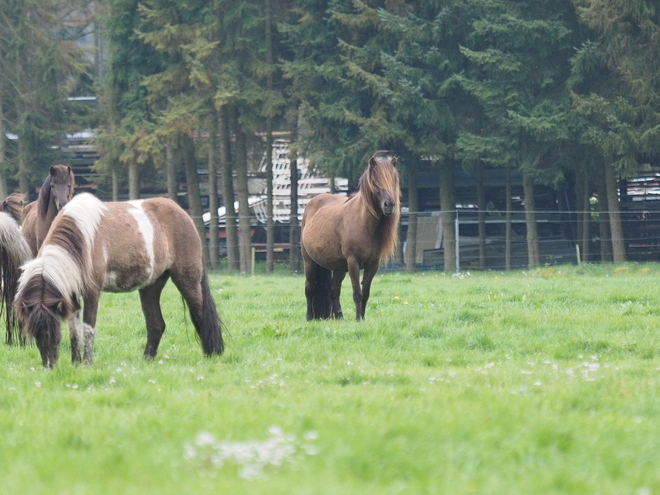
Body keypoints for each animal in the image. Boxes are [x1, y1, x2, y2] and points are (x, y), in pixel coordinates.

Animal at [12, 194, 224, 368]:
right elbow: (74, 329)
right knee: (156, 324)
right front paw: (75, 362)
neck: (80, 239)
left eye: (53, 332)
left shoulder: (92, 293)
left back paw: (211, 353)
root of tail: (182, 213)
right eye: (35, 334)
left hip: (188, 280)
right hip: (150, 286)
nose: (49, 366)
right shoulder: (70, 296)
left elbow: (88, 329)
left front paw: (87, 364)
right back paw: (147, 359)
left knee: (201, 315)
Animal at [300, 155, 402, 322]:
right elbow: (357, 293)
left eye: (394, 178)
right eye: (375, 180)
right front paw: (358, 319)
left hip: (338, 267)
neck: (364, 224)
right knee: (309, 288)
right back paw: (309, 317)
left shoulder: (373, 265)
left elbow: (365, 292)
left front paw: (363, 318)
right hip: (309, 262)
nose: (390, 205)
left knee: (334, 289)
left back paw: (340, 317)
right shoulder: (353, 262)